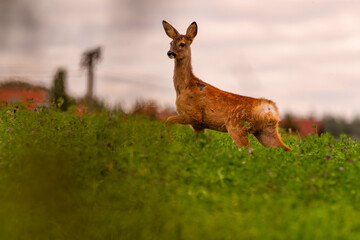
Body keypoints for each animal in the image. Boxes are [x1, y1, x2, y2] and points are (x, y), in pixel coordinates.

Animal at [162, 21, 292, 152]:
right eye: (170, 43)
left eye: (182, 44)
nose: (170, 53)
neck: (184, 87)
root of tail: (268, 108)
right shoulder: (199, 125)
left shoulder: (194, 115)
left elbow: (167, 121)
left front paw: (169, 142)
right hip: (266, 130)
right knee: (285, 148)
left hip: (236, 126)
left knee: (248, 150)